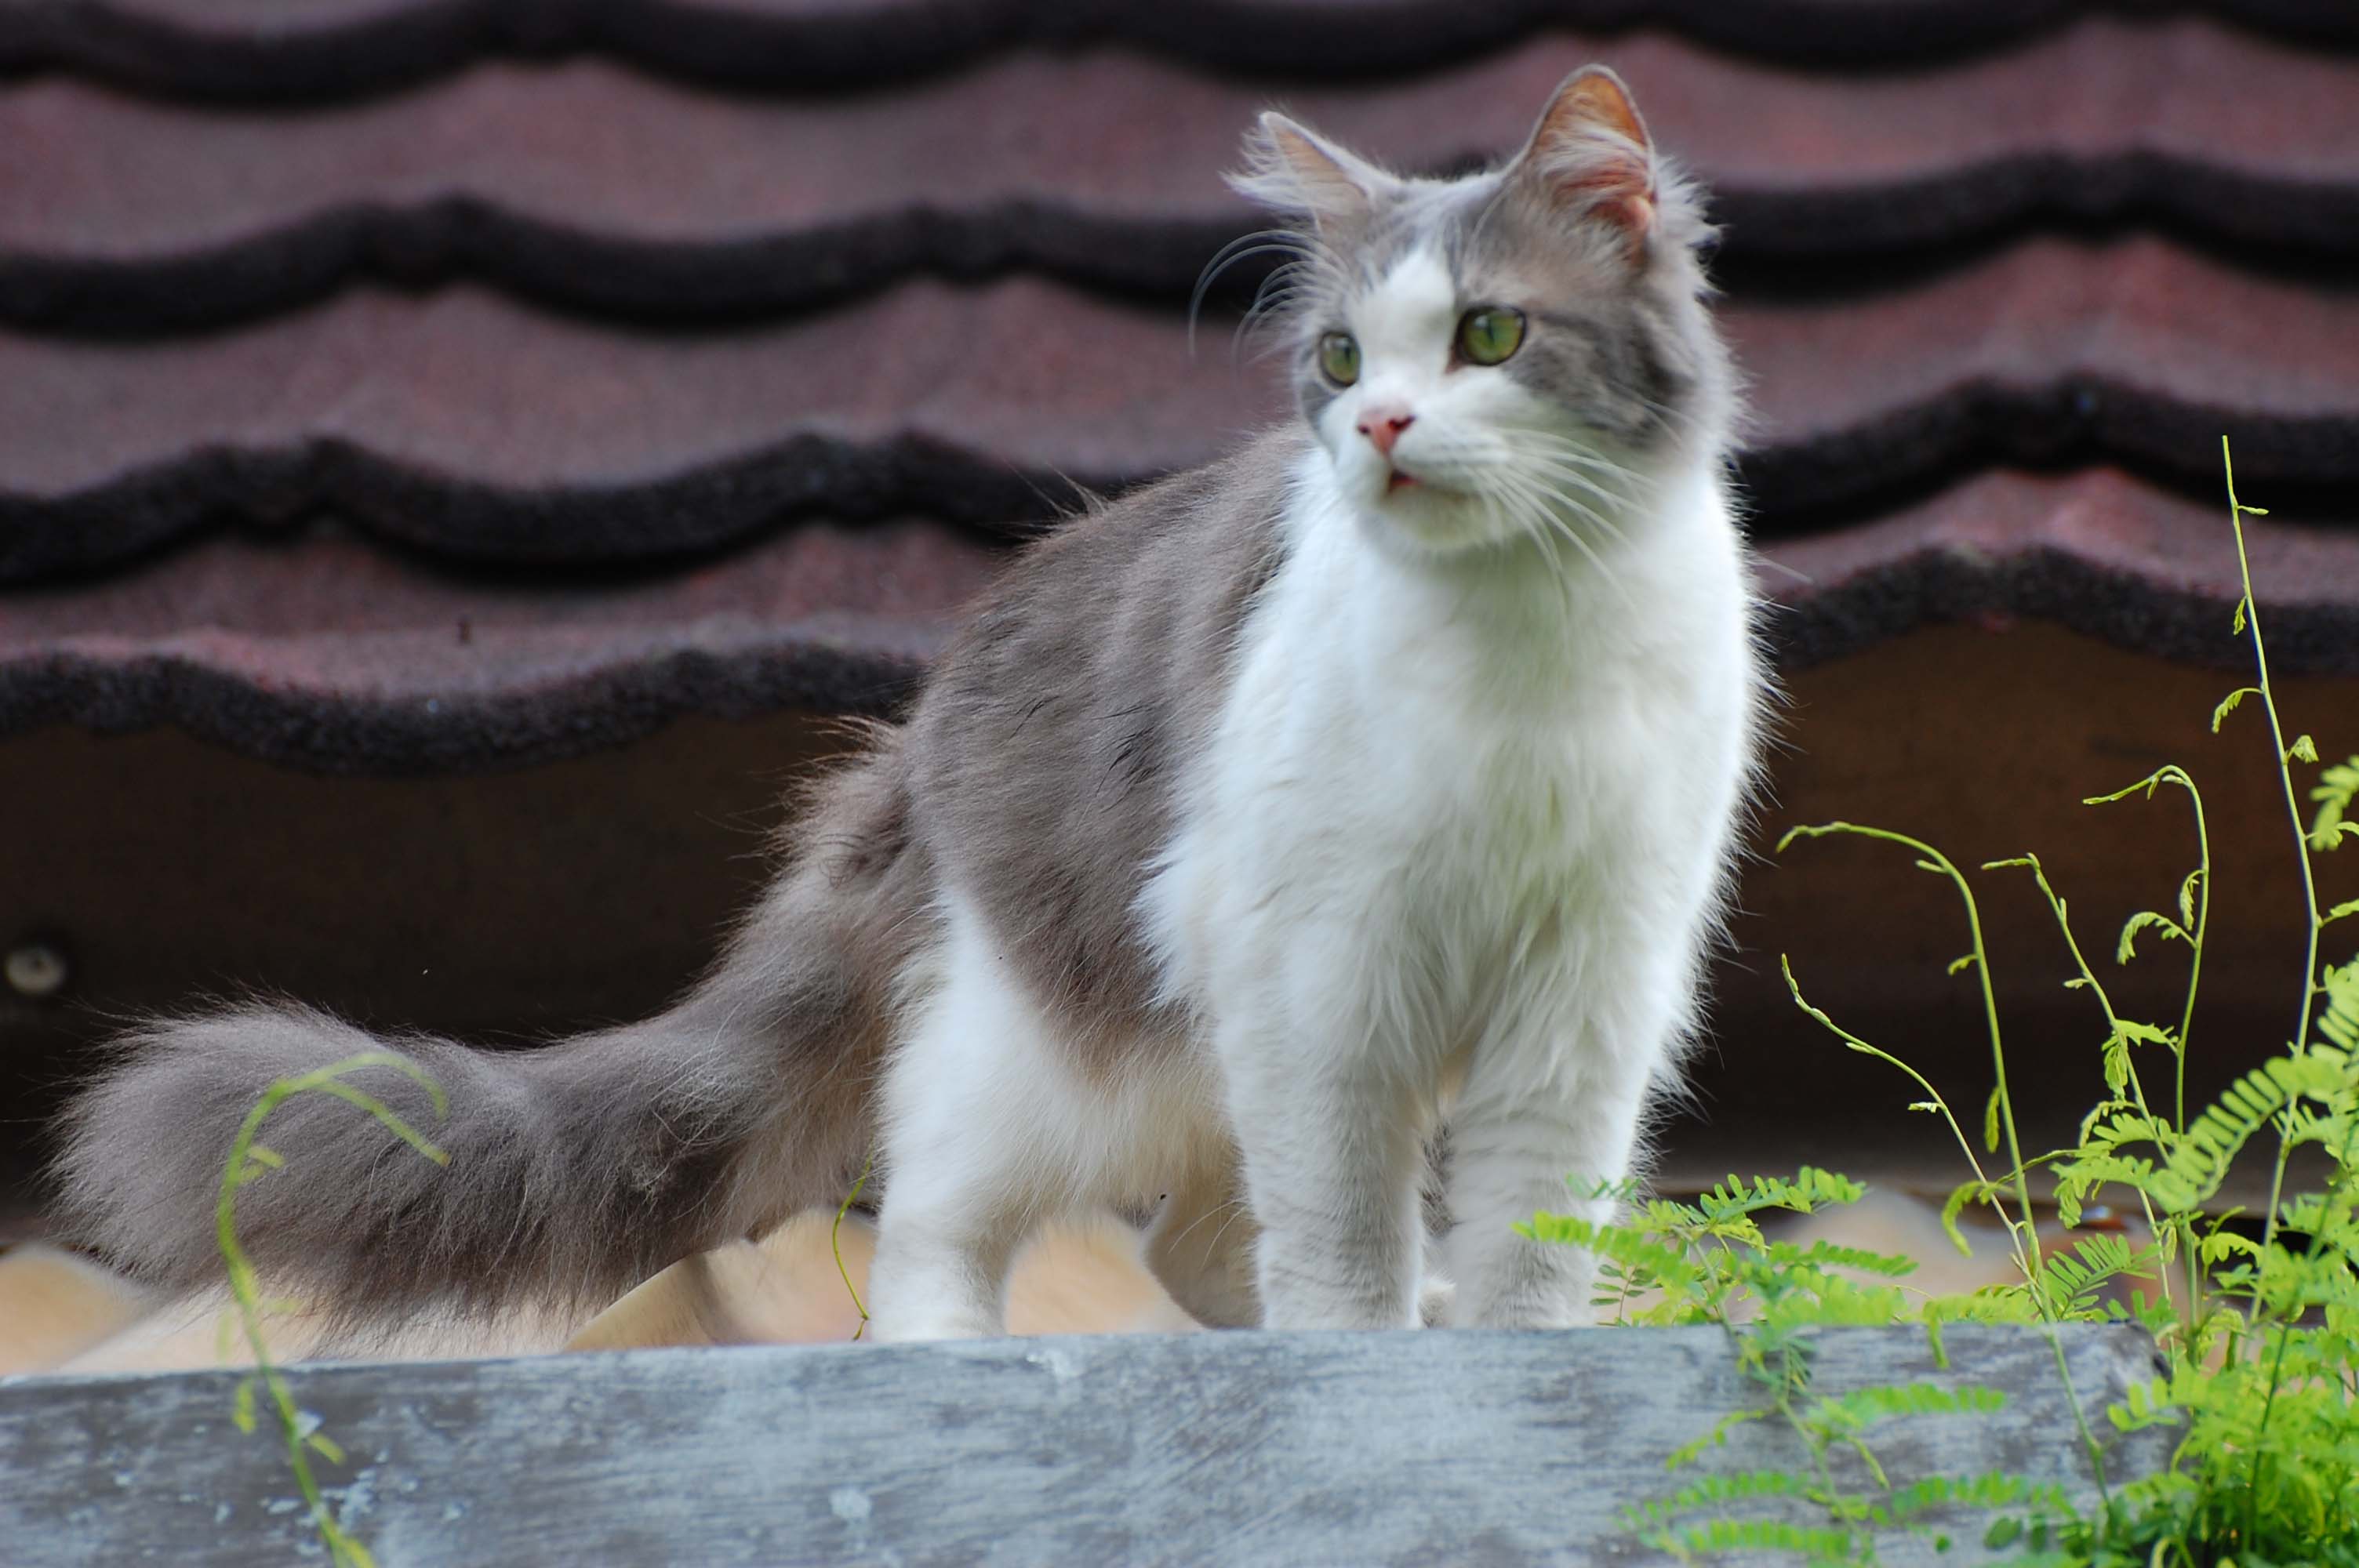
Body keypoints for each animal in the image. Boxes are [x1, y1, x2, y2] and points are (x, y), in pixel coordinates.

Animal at [55, 70, 1764, 1348]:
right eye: (1341, 359)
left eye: (1489, 335)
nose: (1382, 426)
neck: (1521, 650)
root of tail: (928, 708)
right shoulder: (1329, 981)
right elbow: (1337, 1243)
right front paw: (1363, 1360)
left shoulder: (1585, 993)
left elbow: (1529, 1240)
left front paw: (1506, 1353)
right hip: (1058, 1041)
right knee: (951, 1219)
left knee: (1195, 1248)